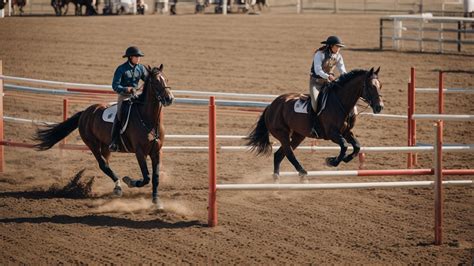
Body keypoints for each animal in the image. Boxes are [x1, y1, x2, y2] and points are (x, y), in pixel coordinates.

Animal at [34, 64, 174, 208]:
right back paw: (118, 187)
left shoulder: (157, 151)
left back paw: (116, 186)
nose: (169, 99)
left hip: (106, 147)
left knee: (106, 163)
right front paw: (129, 181)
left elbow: (155, 177)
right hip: (93, 145)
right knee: (103, 165)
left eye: (166, 80)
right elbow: (146, 177)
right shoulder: (140, 151)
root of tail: (85, 112)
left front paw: (156, 201)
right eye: (155, 82)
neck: (149, 120)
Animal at [246, 67, 384, 182]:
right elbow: (344, 145)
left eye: (380, 85)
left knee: (279, 154)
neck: (341, 103)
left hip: (298, 135)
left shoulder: (346, 132)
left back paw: (277, 177)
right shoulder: (332, 134)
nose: (380, 107)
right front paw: (331, 161)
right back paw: (302, 173)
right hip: (282, 134)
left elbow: (357, 146)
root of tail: (271, 106)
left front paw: (344, 159)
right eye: (371, 86)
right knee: (289, 153)